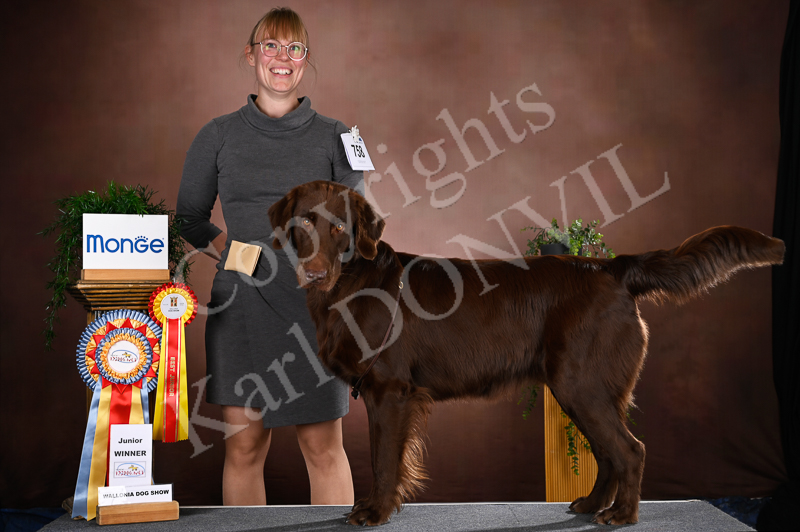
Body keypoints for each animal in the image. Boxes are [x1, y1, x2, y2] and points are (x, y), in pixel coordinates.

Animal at [267, 180, 785, 526]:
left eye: (340, 226)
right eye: (303, 223)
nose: (315, 273)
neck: (351, 283)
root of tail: (611, 268)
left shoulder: (390, 391)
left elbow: (382, 459)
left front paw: (375, 512)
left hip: (580, 384)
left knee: (629, 450)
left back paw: (622, 516)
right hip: (579, 389)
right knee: (609, 453)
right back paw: (591, 505)